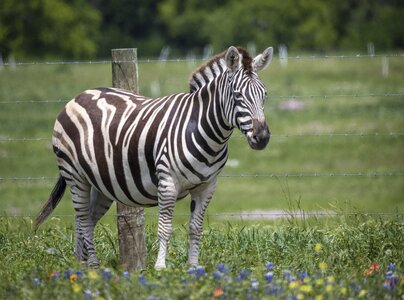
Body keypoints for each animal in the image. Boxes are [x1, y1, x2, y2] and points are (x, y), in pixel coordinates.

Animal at [34, 46, 274, 270]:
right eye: (237, 95)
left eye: (264, 95)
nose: (262, 137)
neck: (203, 128)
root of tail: (79, 96)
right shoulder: (167, 182)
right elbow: (165, 228)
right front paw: (160, 268)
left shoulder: (207, 186)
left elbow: (196, 228)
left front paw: (193, 267)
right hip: (75, 175)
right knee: (83, 219)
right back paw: (92, 264)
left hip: (101, 182)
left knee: (86, 220)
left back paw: (80, 265)